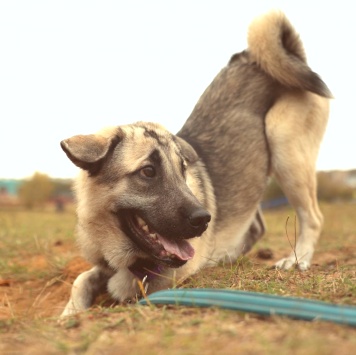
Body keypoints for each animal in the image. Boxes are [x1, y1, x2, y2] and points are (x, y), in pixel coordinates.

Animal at [60, 10, 330, 318]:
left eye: (182, 170)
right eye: (148, 171)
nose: (203, 220)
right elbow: (82, 279)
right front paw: (70, 312)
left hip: (286, 149)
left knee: (313, 217)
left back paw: (297, 259)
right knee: (255, 225)